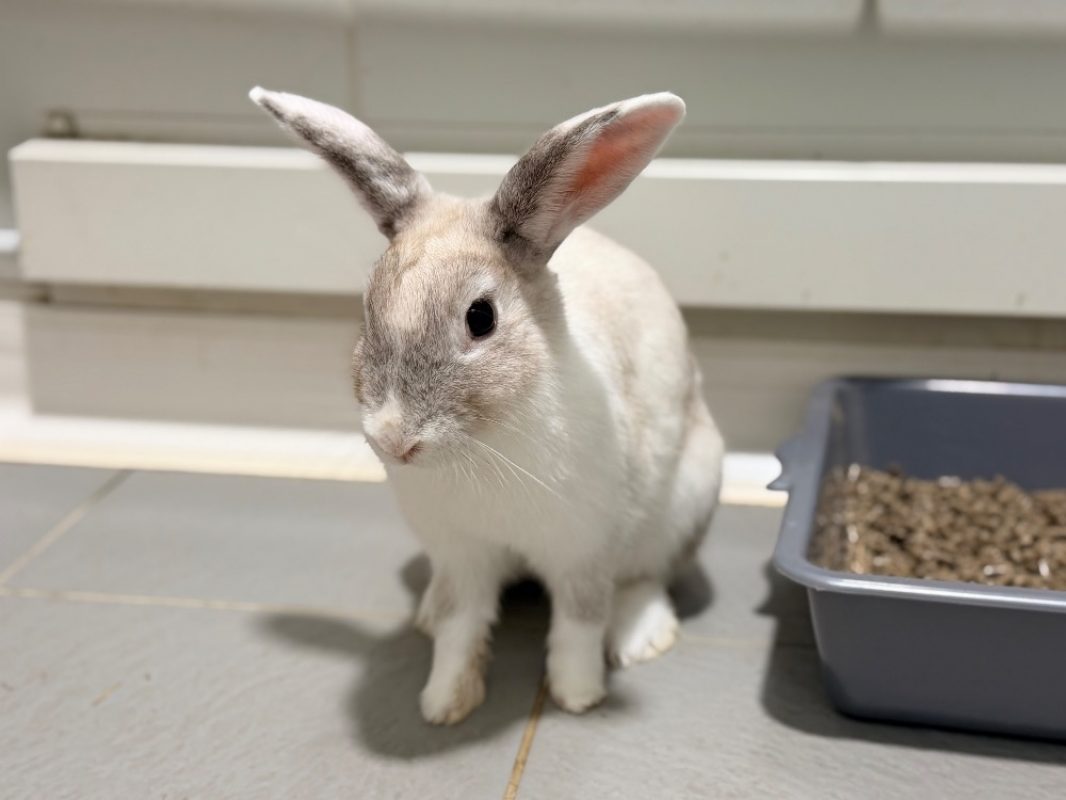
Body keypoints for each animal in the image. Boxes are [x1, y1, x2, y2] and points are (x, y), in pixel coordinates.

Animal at [250, 87, 724, 725]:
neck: (485, 445)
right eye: (367, 308)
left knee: (643, 579)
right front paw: (443, 704)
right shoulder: (460, 556)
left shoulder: (584, 551)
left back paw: (640, 638)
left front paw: (578, 696)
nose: (394, 438)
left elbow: (578, 623)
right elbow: (460, 626)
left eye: (481, 317)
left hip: (684, 502)